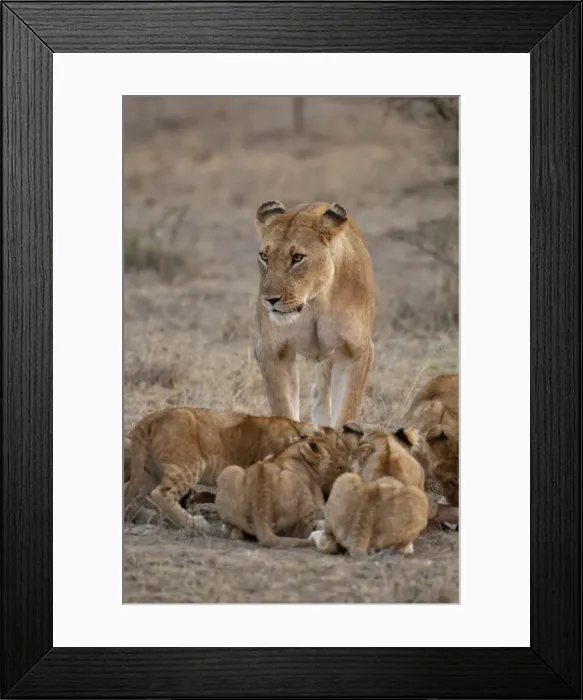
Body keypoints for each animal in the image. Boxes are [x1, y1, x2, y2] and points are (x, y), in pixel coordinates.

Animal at [123, 407, 353, 534]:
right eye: (340, 465)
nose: (332, 491)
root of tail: (149, 419)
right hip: (186, 465)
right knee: (160, 494)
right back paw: (195, 524)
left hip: (147, 472)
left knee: (128, 496)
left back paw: (149, 518)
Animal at [215, 435, 347, 548]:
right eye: (330, 449)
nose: (342, 463)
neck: (293, 452)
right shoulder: (316, 494)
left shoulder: (268, 456)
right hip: (297, 484)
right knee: (303, 531)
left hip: (231, 470)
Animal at [254, 200, 375, 431]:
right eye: (265, 257)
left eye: (297, 258)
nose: (269, 299)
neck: (314, 302)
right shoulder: (273, 351)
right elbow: (284, 410)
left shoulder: (355, 351)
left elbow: (347, 411)